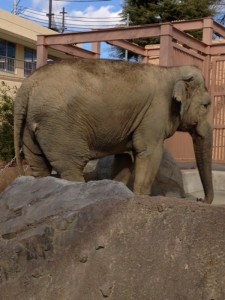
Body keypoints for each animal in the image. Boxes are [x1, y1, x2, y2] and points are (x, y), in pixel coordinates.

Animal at [13, 58, 214, 204]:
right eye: (206, 105)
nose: (199, 199)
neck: (171, 70)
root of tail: (27, 85)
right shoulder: (155, 111)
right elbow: (149, 152)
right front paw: (141, 197)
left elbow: (125, 159)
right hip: (59, 127)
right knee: (71, 168)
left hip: (30, 128)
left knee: (39, 166)